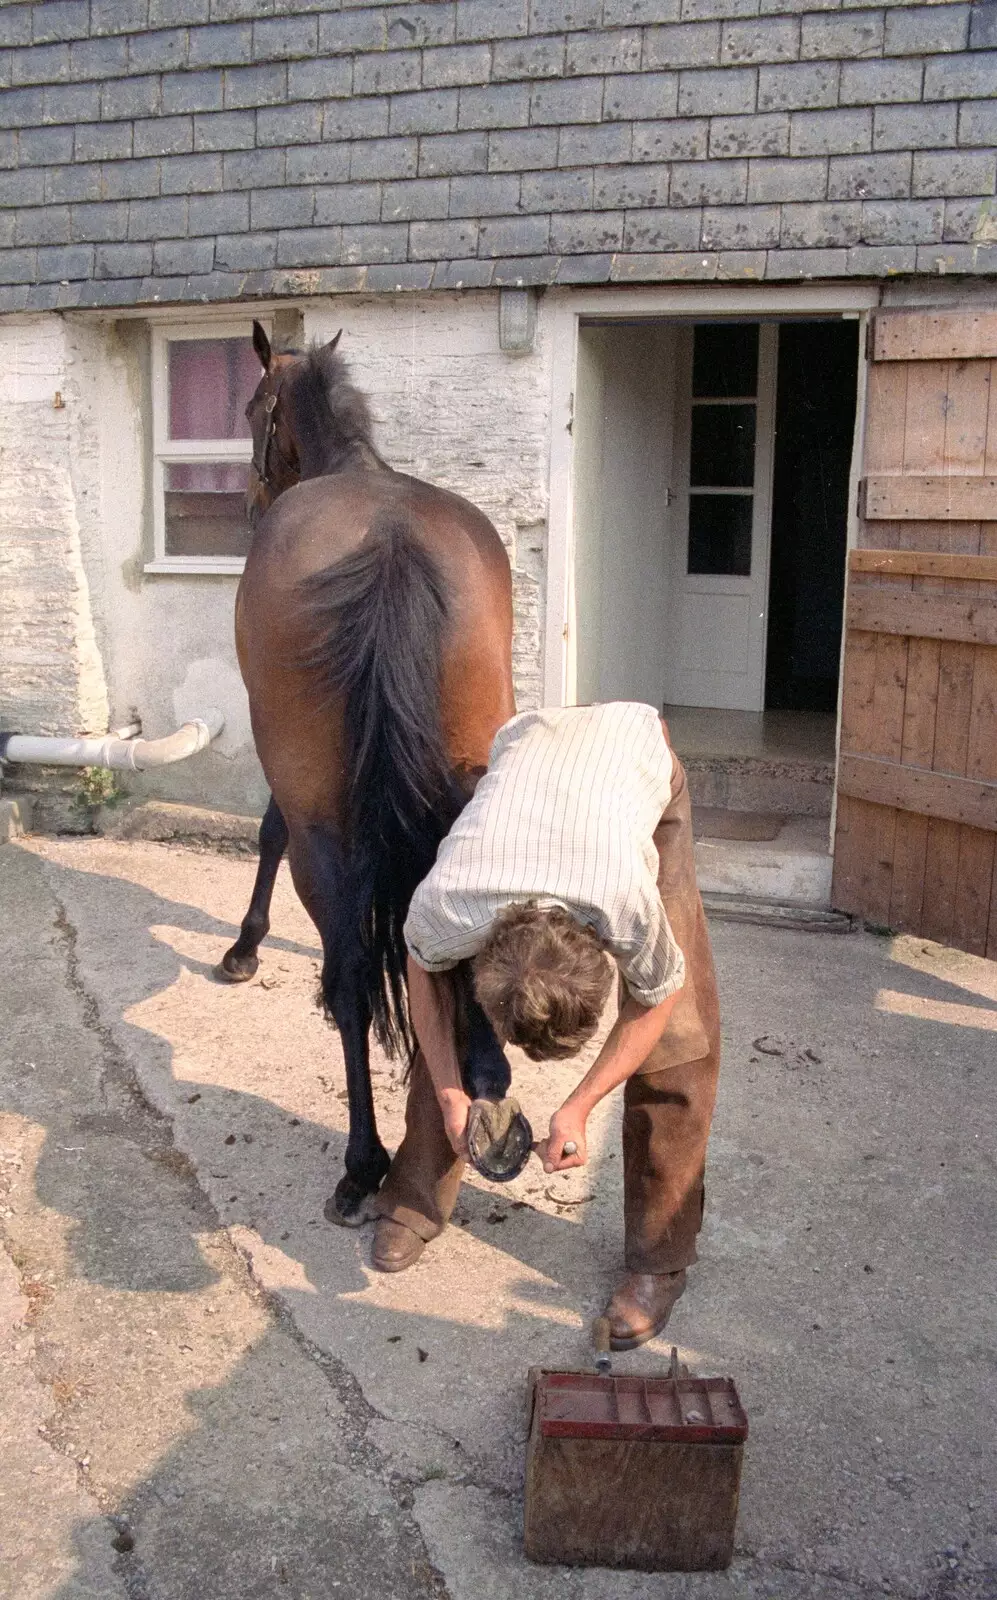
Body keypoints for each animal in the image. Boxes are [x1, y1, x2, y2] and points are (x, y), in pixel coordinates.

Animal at [230, 324, 518, 1222]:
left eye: (252, 409)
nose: (249, 502)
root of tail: (390, 545)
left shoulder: (290, 784)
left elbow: (266, 832)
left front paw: (243, 946)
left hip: (323, 818)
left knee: (353, 973)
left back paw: (362, 1160)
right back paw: (486, 1080)